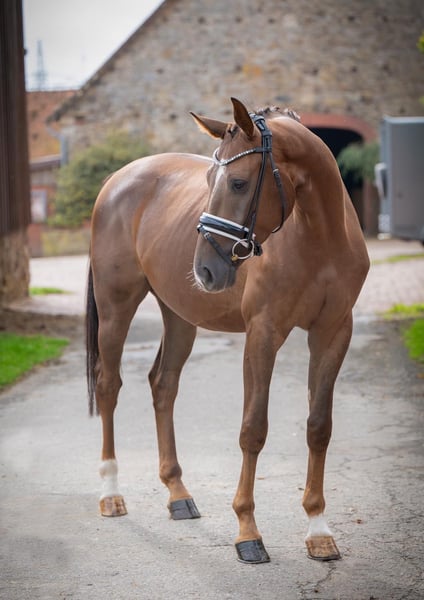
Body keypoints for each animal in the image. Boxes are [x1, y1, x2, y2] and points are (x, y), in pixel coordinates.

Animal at [86, 97, 369, 564]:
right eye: (208, 179)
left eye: (238, 183)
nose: (205, 268)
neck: (318, 235)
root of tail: (117, 179)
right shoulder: (264, 333)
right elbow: (253, 429)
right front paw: (248, 532)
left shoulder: (333, 332)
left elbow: (319, 426)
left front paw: (318, 529)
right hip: (115, 308)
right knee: (109, 385)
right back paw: (110, 492)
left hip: (180, 316)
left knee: (163, 385)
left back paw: (178, 494)